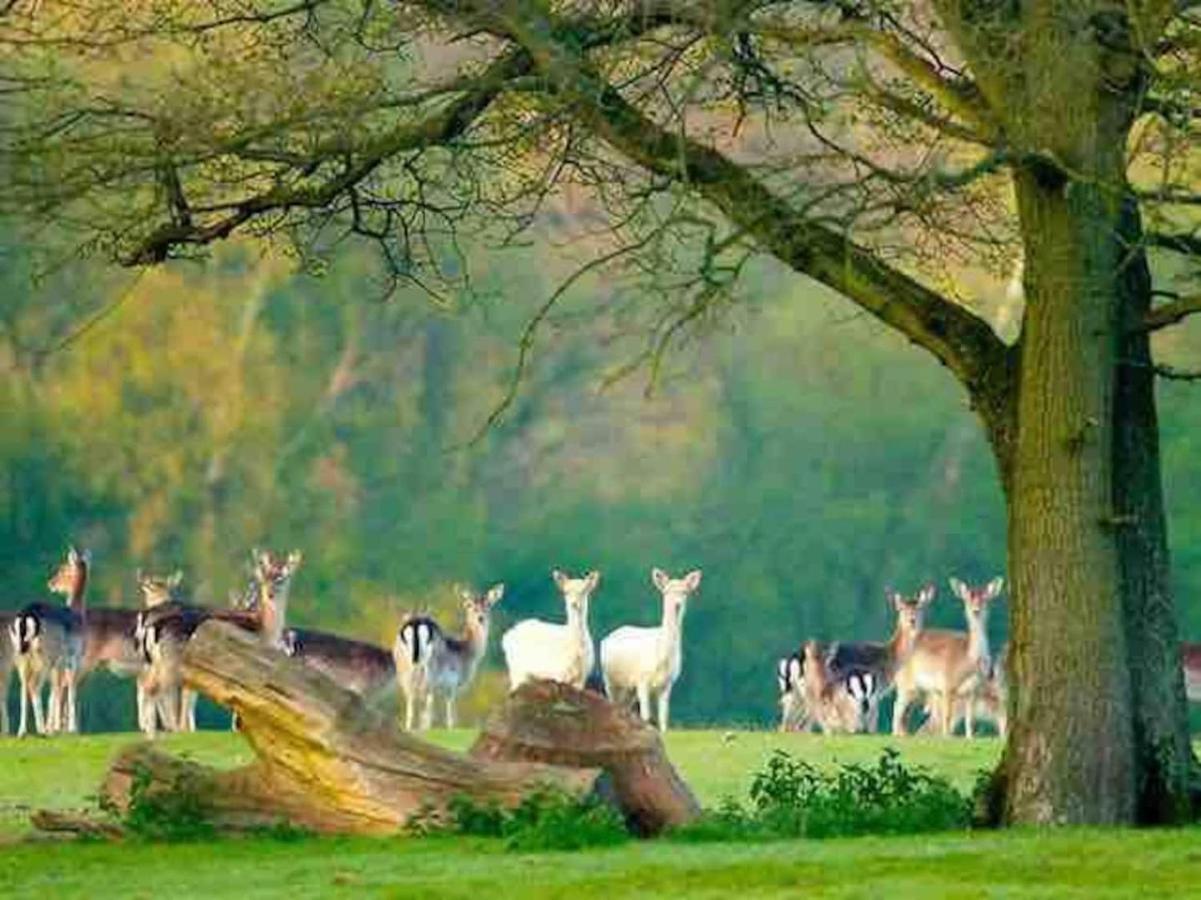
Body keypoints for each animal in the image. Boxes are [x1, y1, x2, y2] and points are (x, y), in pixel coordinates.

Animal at [393, 583, 502, 730]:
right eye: (468, 605)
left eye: (488, 604)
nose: (480, 617)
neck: (466, 652)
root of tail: (416, 624)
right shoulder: (452, 686)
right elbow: (451, 719)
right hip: (430, 672)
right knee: (427, 709)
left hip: (404, 669)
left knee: (410, 704)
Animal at [598, 569, 701, 730]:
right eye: (666, 591)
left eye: (685, 591)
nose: (677, 604)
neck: (661, 658)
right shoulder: (642, 680)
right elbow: (645, 717)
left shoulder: (668, 683)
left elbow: (663, 718)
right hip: (610, 680)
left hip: (629, 688)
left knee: (625, 709)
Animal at [893, 576, 1004, 735]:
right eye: (967, 599)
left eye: (985, 599)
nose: (976, 610)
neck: (968, 661)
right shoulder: (946, 685)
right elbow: (947, 719)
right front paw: (947, 738)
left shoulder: (972, 690)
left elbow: (970, 722)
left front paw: (969, 737)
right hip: (905, 684)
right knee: (897, 710)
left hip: (918, 691)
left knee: (905, 716)